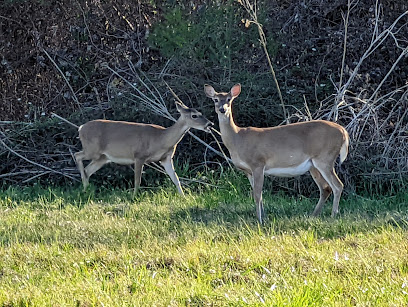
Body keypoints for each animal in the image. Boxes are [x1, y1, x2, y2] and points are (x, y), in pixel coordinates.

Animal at [74, 102, 214, 196]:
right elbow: (138, 180)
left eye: (201, 113)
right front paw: (134, 197)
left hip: (102, 158)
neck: (161, 139)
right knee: (77, 155)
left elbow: (176, 178)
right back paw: (85, 188)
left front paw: (184, 197)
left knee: (88, 169)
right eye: (194, 115)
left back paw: (87, 189)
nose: (210, 124)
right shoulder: (139, 156)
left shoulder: (166, 158)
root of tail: (81, 128)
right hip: (92, 150)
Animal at [206, 84, 350, 224]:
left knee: (338, 186)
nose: (222, 109)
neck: (237, 138)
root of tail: (343, 131)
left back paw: (333, 215)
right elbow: (258, 194)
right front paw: (263, 217)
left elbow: (257, 194)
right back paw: (313, 215)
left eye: (229, 99)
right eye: (216, 99)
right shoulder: (248, 171)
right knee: (326, 188)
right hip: (313, 165)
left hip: (325, 158)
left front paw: (260, 220)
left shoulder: (258, 163)